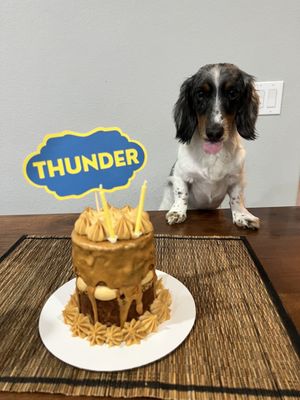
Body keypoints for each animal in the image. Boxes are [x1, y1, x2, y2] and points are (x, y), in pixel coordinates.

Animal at [159, 62, 260, 228]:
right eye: (200, 94)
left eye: (232, 93)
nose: (214, 133)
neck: (213, 155)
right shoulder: (179, 175)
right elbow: (181, 193)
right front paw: (177, 212)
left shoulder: (237, 179)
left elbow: (237, 198)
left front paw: (242, 215)